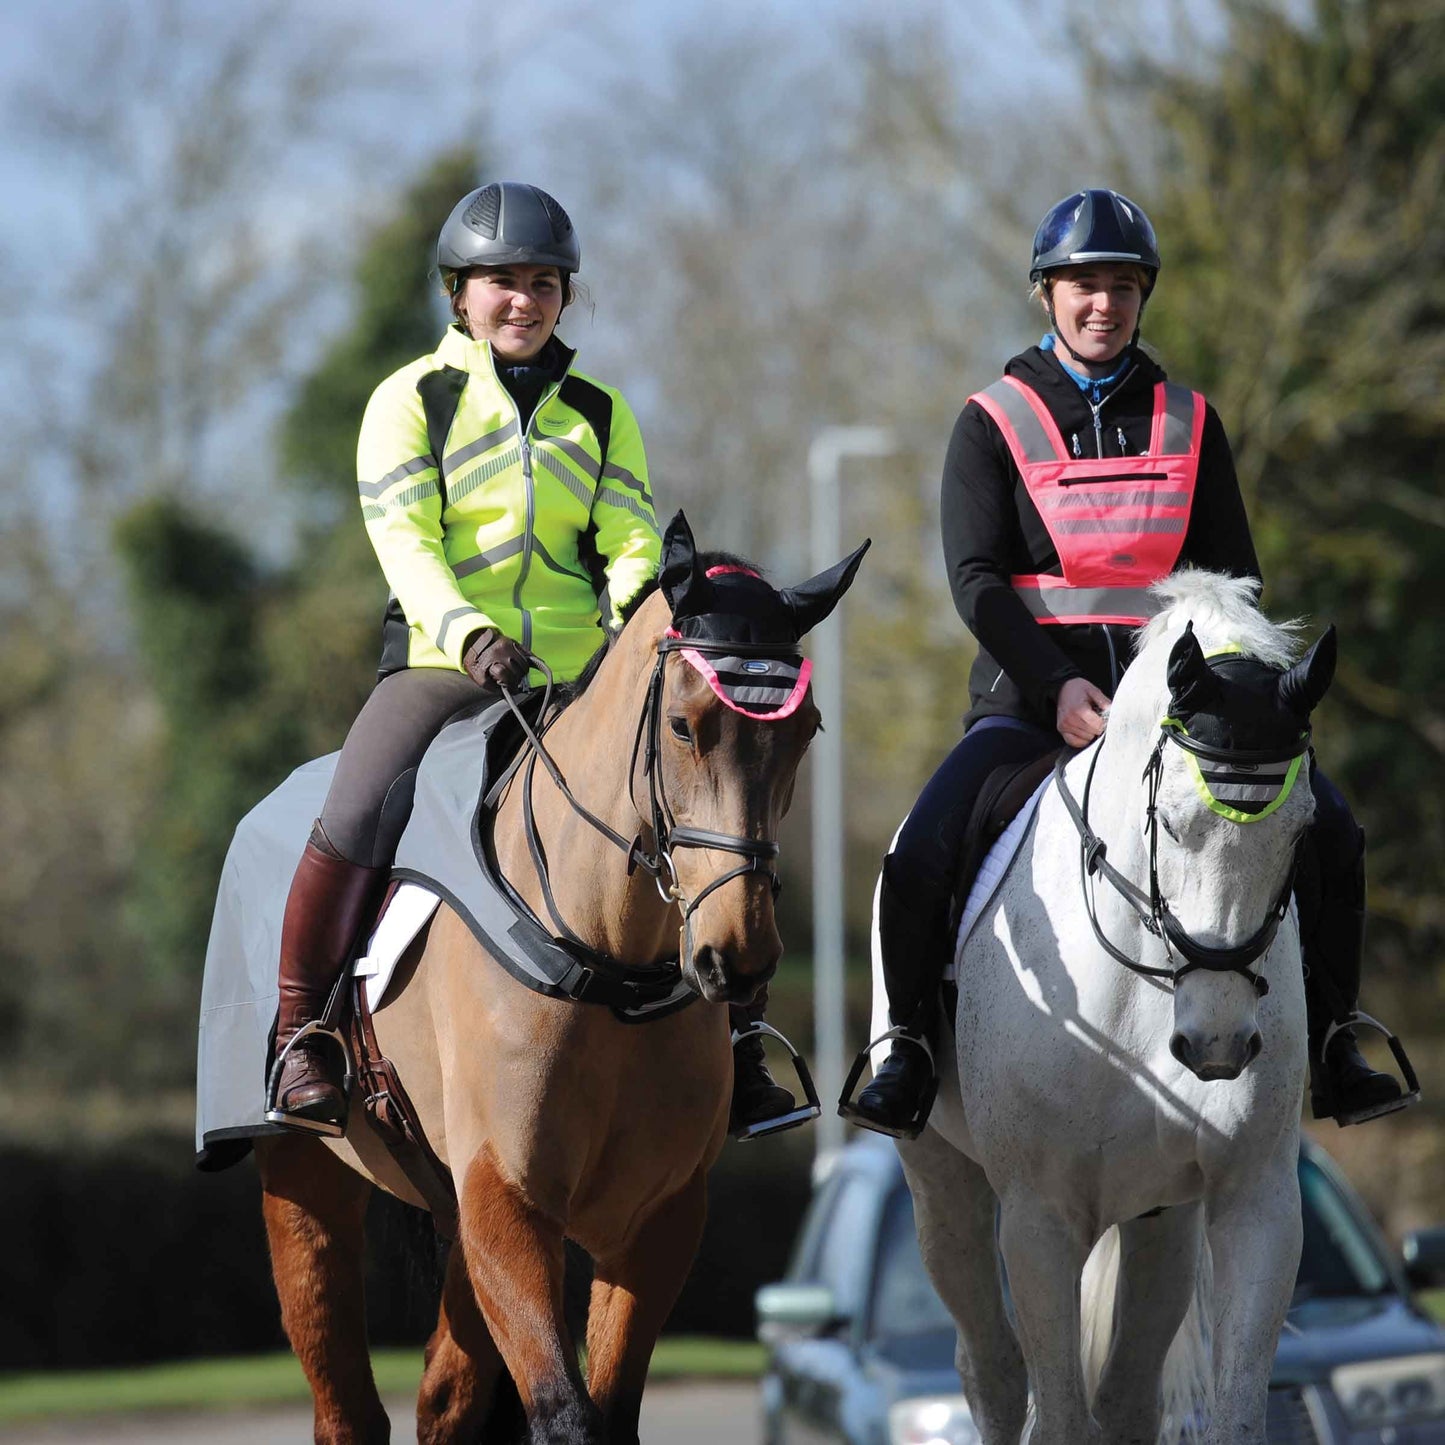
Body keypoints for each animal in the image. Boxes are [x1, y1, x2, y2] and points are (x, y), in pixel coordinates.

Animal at [258, 514, 861, 1439]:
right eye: (683, 725)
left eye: (806, 729)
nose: (740, 954)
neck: (609, 966)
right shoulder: (508, 1198)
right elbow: (565, 1411)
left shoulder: (654, 1219)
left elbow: (605, 1409)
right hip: (303, 1181)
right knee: (347, 1404)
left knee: (447, 1394)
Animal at [878, 575, 1340, 1445]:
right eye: (1172, 820)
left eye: (1302, 831)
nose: (1217, 1041)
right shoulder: (1037, 1221)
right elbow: (1055, 1411)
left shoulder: (1254, 1200)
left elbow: (1232, 1411)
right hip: (942, 1186)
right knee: (990, 1371)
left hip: (1160, 1218)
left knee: (1126, 1395)